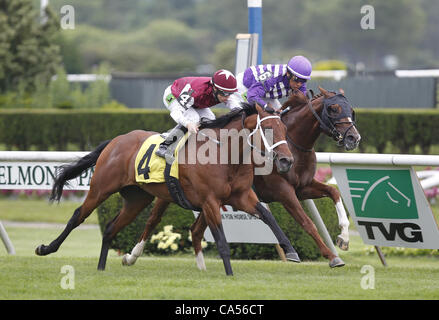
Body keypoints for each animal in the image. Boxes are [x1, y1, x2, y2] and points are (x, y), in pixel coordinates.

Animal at [36, 102, 300, 276]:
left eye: (286, 130)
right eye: (269, 130)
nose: (287, 161)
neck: (224, 155)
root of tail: (115, 140)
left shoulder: (242, 196)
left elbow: (268, 216)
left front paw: (291, 251)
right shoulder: (210, 201)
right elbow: (221, 241)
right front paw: (230, 274)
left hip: (137, 199)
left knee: (111, 228)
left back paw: (102, 267)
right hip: (101, 188)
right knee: (78, 216)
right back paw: (46, 248)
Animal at [125, 86, 362, 268]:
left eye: (352, 110)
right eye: (333, 108)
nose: (353, 138)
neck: (293, 144)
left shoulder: (303, 187)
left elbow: (333, 192)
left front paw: (343, 237)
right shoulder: (283, 191)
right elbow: (307, 222)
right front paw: (331, 257)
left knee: (196, 228)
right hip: (168, 193)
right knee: (153, 220)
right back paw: (132, 256)